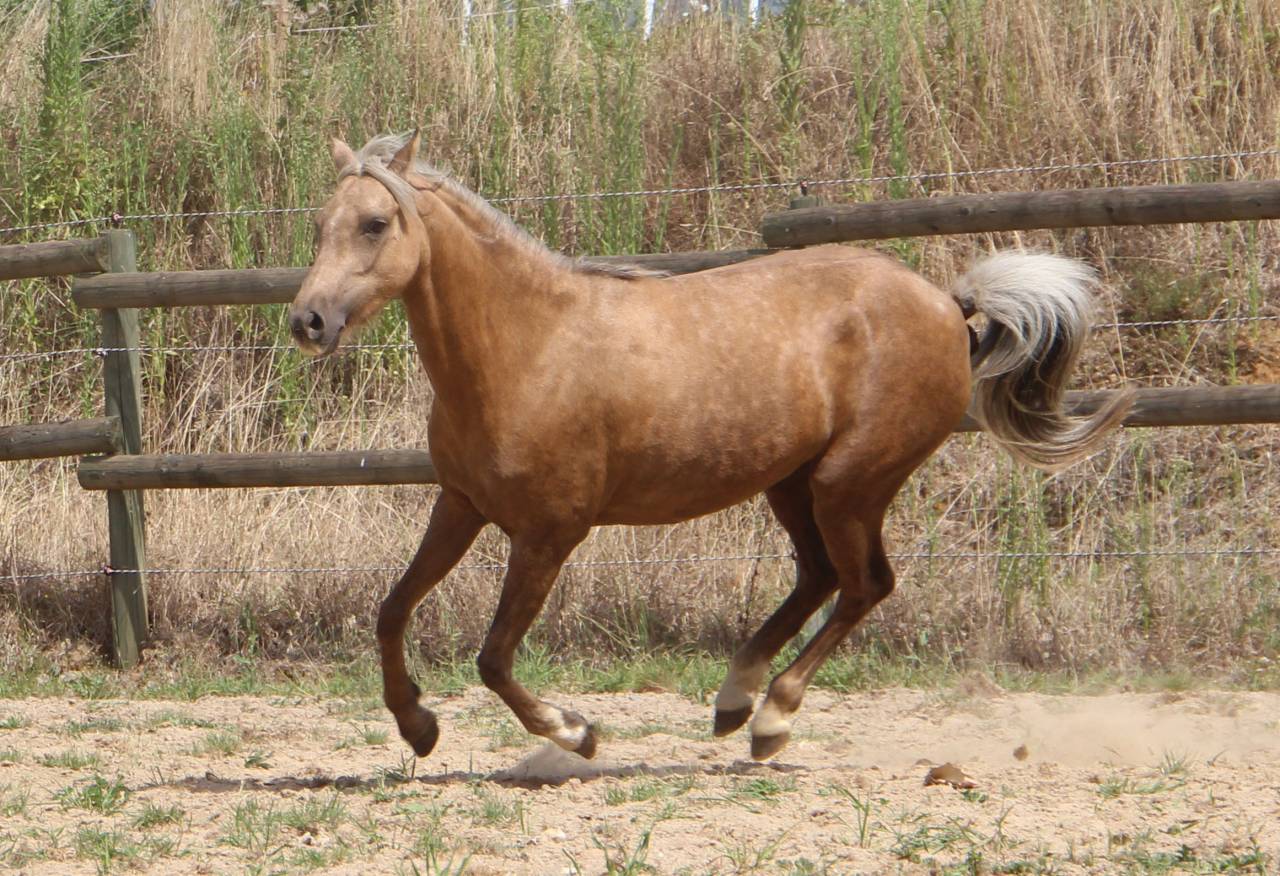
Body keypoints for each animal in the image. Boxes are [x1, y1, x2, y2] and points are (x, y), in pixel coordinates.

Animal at [289, 132, 1131, 762]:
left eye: (375, 224)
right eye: (321, 223)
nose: (308, 321)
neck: (527, 348)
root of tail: (949, 304)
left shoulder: (551, 531)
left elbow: (493, 657)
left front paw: (576, 733)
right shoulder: (461, 505)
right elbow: (391, 611)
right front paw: (417, 726)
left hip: (851, 481)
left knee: (865, 586)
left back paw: (771, 719)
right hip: (792, 483)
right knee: (820, 576)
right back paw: (734, 701)